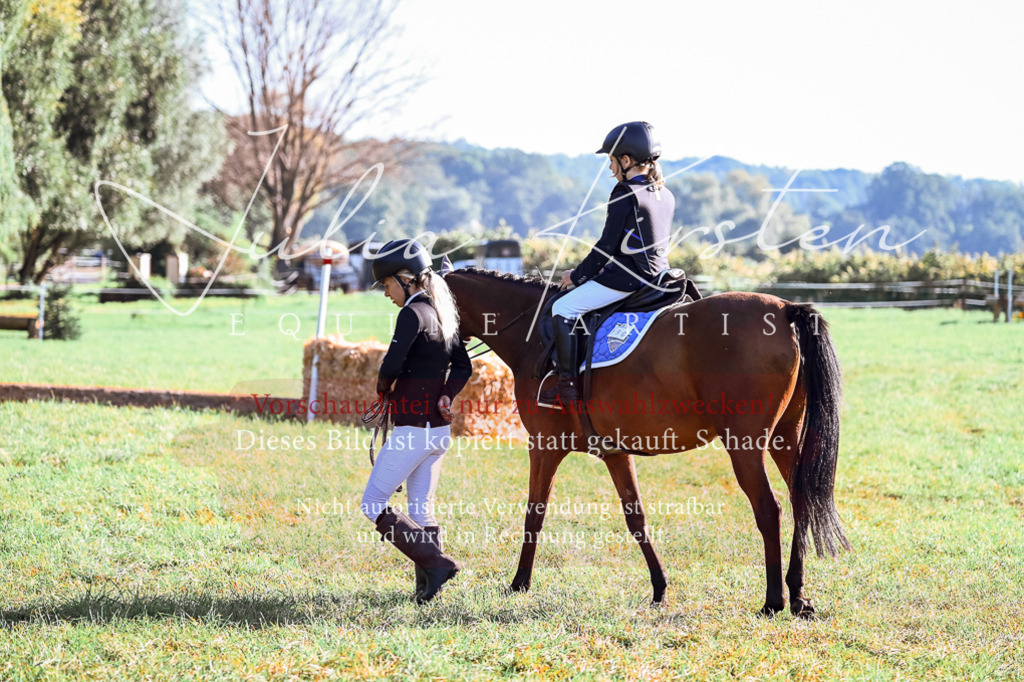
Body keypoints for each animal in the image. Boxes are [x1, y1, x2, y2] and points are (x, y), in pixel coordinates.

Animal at [443, 268, 849, 618]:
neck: (532, 335)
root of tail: (784, 310)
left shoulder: (544, 445)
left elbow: (535, 513)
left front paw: (519, 583)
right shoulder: (614, 452)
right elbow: (635, 516)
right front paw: (659, 588)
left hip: (745, 445)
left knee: (769, 508)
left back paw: (773, 601)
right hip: (785, 435)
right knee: (801, 499)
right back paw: (797, 596)